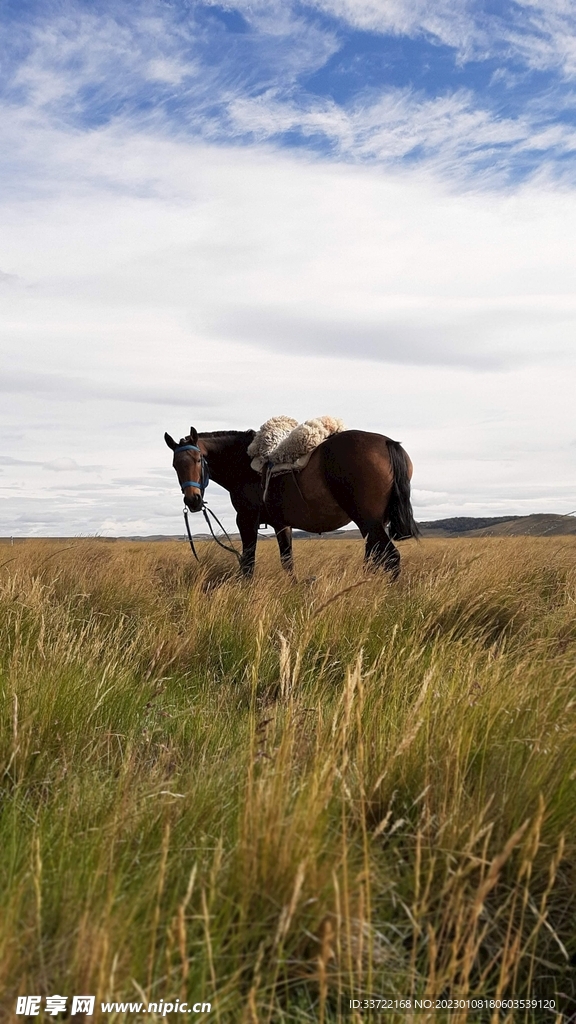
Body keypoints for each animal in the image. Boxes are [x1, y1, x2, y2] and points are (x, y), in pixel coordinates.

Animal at [162, 423, 416, 577]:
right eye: (175, 465)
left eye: (198, 460)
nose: (193, 501)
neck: (244, 464)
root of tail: (387, 443)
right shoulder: (281, 524)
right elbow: (288, 562)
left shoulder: (246, 520)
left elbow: (248, 563)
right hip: (373, 524)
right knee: (376, 558)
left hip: (368, 521)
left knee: (391, 558)